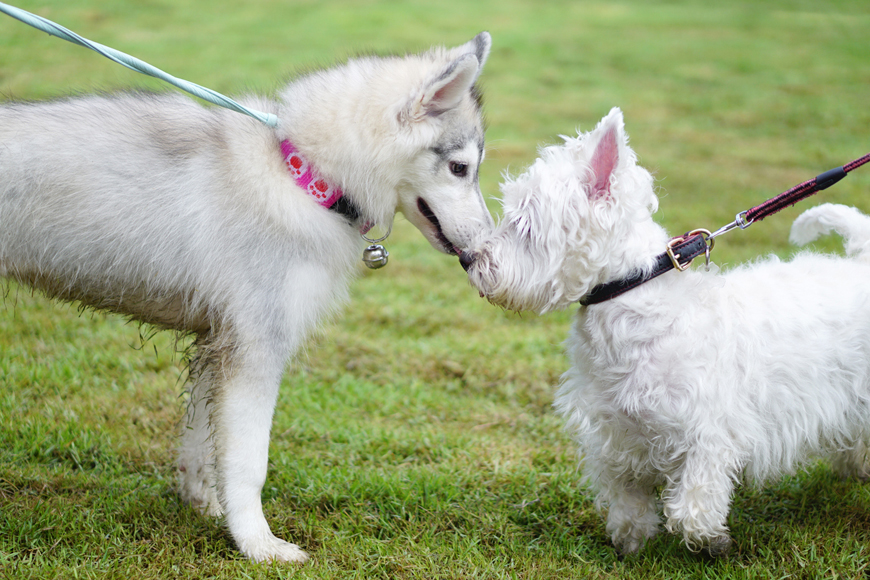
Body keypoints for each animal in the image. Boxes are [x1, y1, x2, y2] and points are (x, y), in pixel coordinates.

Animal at [0, 32, 494, 560]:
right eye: (460, 167)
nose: (482, 253)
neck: (301, 176)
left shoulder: (215, 343)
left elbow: (200, 445)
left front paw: (204, 507)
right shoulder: (256, 348)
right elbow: (248, 463)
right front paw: (258, 544)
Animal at [466, 106, 870, 556]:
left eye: (525, 223)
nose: (468, 258)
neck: (629, 301)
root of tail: (861, 260)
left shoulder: (709, 431)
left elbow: (691, 507)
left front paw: (712, 540)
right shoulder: (615, 433)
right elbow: (627, 496)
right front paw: (632, 539)